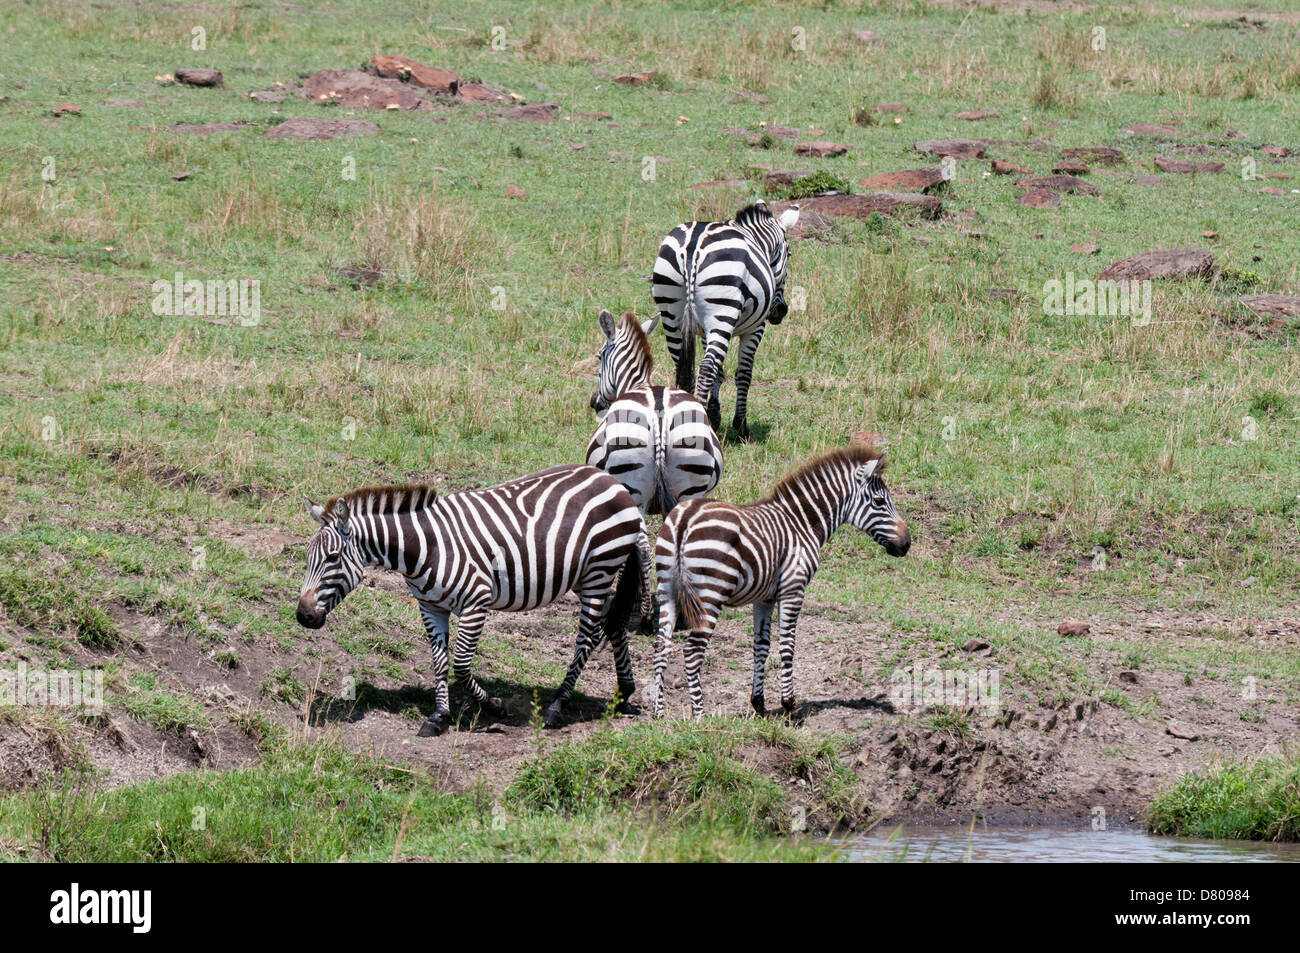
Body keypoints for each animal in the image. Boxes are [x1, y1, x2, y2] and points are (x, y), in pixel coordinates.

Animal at [296, 465, 652, 736]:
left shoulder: (476, 604)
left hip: (599, 572)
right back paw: (624, 693)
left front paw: (494, 707)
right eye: (308, 556)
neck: (424, 547)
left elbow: (462, 666)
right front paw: (439, 717)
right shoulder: (431, 607)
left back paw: (556, 706)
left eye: (332, 557)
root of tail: (615, 483)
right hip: (585, 577)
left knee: (588, 638)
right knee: (614, 621)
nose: (303, 616)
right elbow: (440, 663)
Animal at [586, 307, 723, 516]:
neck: (637, 384)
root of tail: (660, 418)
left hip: (632, 489)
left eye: (599, 357)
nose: (595, 402)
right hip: (690, 481)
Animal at [648, 443, 910, 720]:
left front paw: (759, 703)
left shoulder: (764, 598)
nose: (906, 544)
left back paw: (658, 712)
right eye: (879, 502)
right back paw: (699, 715)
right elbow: (788, 645)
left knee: (661, 645)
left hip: (667, 589)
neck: (803, 524)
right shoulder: (793, 589)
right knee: (692, 652)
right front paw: (789, 704)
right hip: (709, 595)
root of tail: (685, 517)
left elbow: (761, 645)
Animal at [651, 200, 800, 439]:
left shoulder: (705, 329)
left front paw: (715, 416)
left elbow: (720, 373)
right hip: (722, 311)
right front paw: (741, 427)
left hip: (671, 314)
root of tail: (692, 246)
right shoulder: (755, 328)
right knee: (705, 368)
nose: (781, 311)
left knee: (684, 367)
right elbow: (744, 373)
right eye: (789, 254)